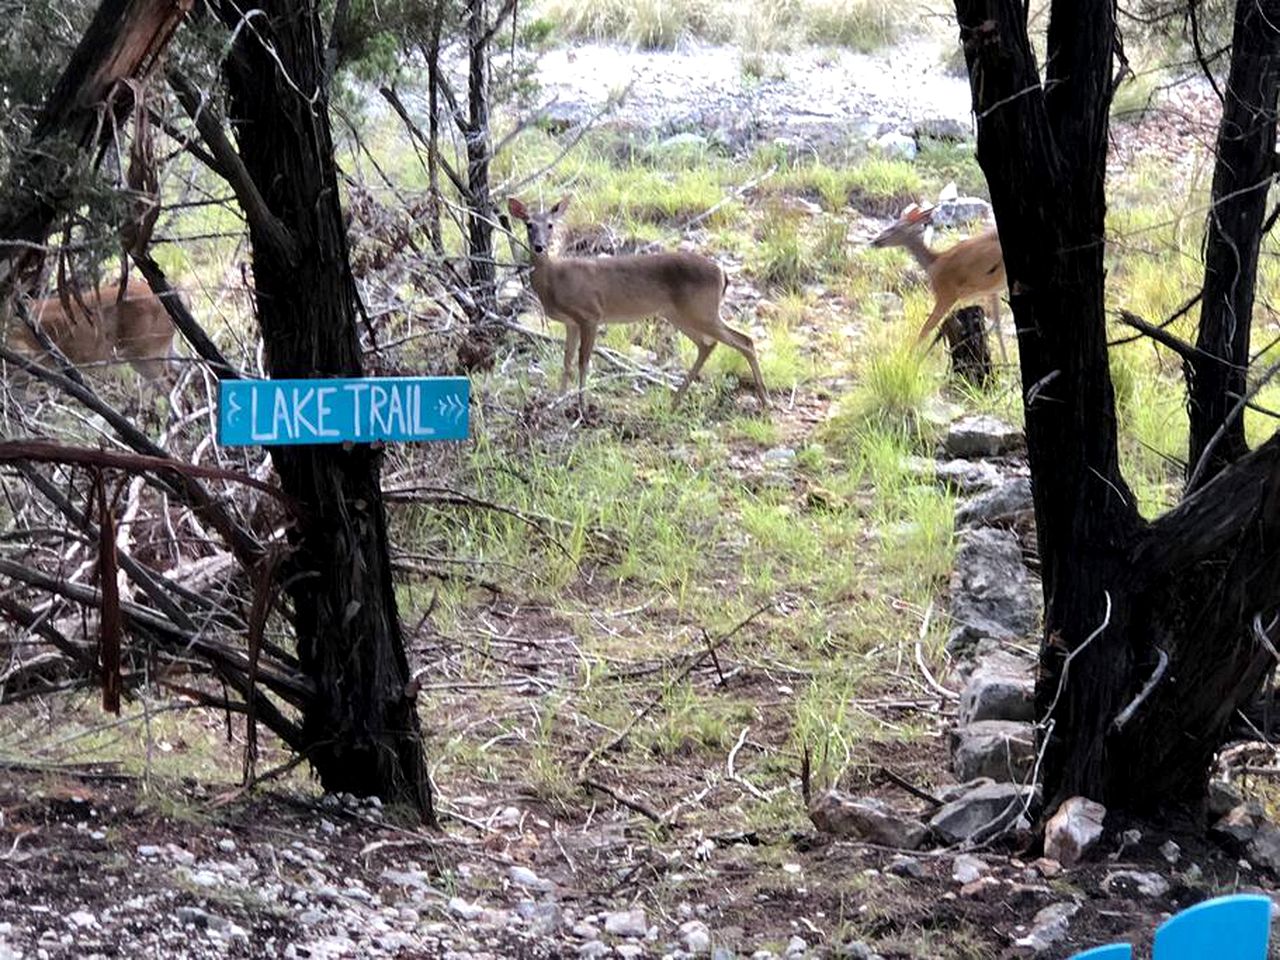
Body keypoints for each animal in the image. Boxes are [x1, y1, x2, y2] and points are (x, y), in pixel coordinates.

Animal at [506, 195, 768, 409]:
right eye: (529, 224)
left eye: (550, 225)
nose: (539, 247)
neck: (554, 280)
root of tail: (722, 274)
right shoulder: (571, 322)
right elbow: (567, 361)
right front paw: (559, 400)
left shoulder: (591, 314)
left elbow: (583, 361)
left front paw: (581, 405)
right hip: (679, 313)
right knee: (708, 345)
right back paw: (675, 400)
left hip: (702, 310)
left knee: (744, 340)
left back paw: (765, 399)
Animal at [870, 203, 1008, 363]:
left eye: (892, 228)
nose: (874, 242)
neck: (932, 263)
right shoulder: (991, 290)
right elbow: (997, 325)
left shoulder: (946, 294)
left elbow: (926, 329)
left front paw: (911, 359)